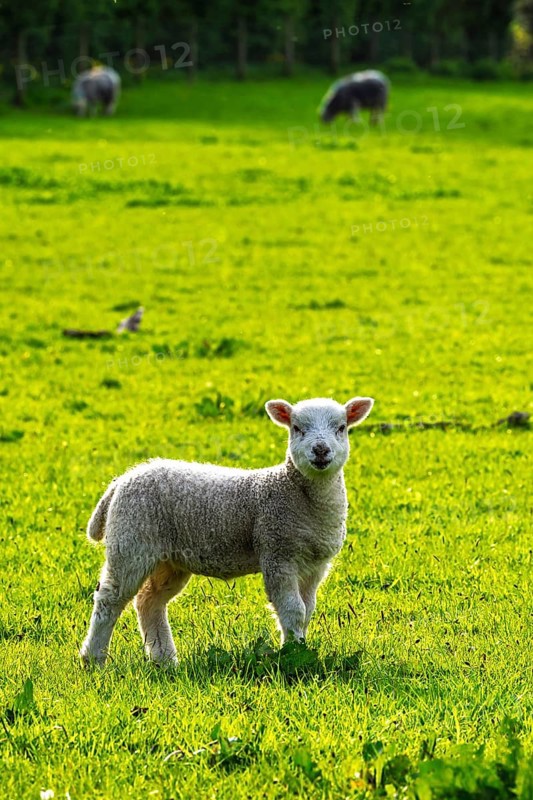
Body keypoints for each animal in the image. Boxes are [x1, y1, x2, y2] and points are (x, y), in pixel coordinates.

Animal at [80, 395, 374, 666]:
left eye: (341, 427)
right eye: (297, 428)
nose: (321, 450)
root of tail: (121, 481)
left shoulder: (315, 565)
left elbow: (308, 610)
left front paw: (301, 649)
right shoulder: (277, 553)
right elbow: (293, 610)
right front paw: (292, 654)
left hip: (169, 558)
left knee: (149, 601)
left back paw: (164, 659)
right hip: (131, 541)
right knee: (109, 599)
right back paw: (93, 659)